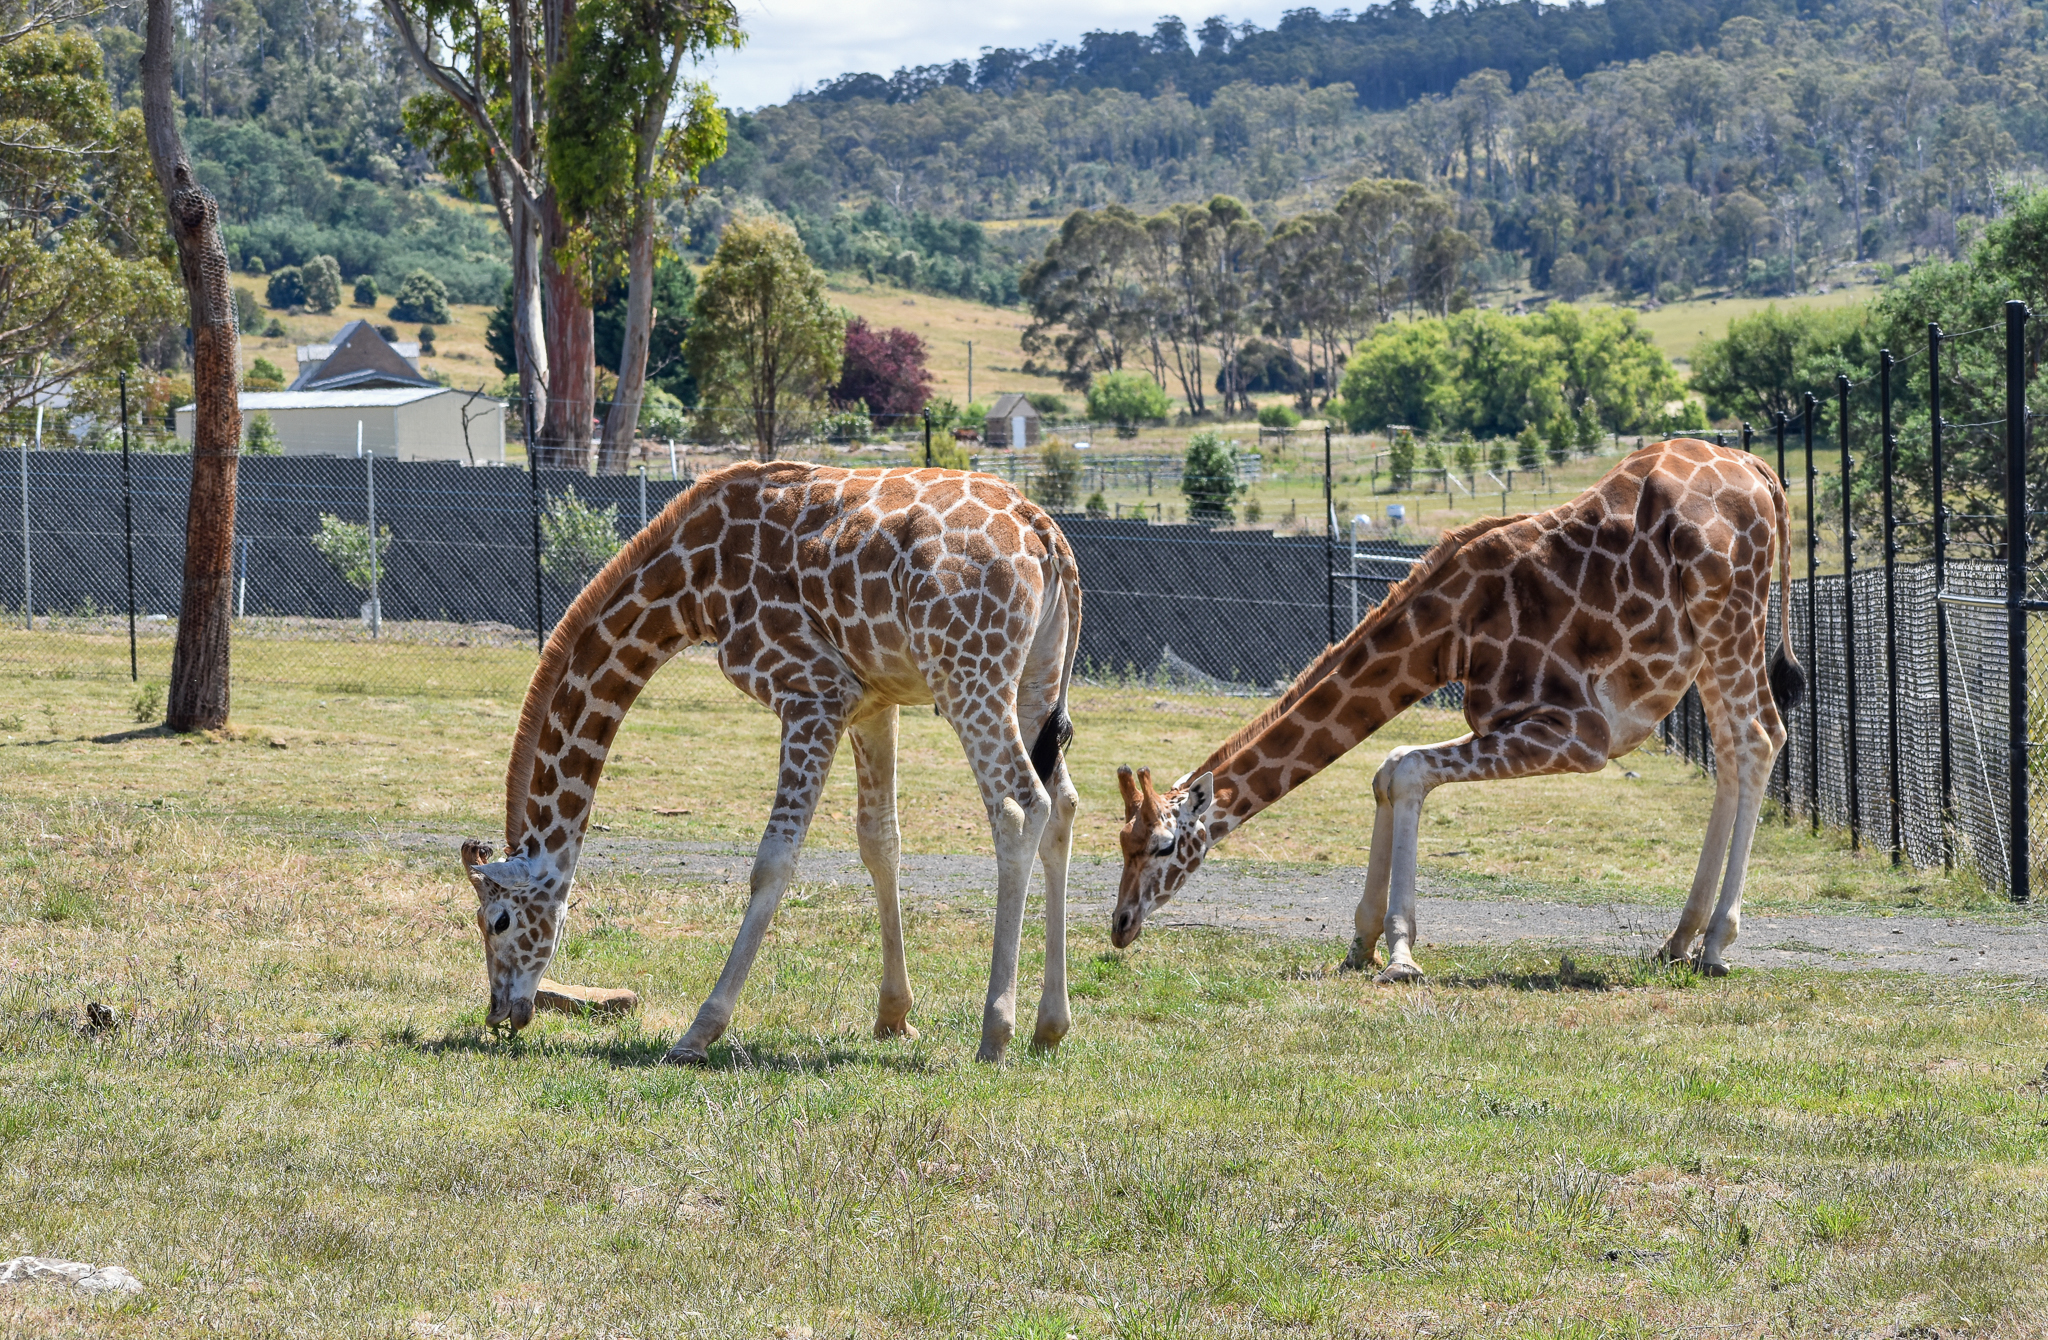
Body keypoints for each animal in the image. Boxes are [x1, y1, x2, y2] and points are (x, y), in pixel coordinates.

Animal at [459, 460, 1082, 1065]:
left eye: (499, 920)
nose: (500, 1013)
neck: (692, 585)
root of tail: (1045, 534)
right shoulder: (872, 701)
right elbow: (880, 842)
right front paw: (893, 1017)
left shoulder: (814, 692)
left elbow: (773, 861)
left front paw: (699, 1032)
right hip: (1034, 679)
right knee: (1063, 804)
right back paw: (1049, 1028)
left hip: (968, 677)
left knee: (1020, 805)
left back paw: (996, 1033)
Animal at [1112, 438, 1804, 979]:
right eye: (1123, 841)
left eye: (1166, 847)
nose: (1119, 925)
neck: (1449, 635)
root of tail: (1760, 470)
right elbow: (1389, 767)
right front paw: (1363, 943)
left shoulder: (1579, 736)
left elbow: (1407, 769)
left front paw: (1399, 955)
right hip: (1706, 646)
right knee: (1732, 752)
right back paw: (1679, 940)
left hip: (1730, 617)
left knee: (1760, 737)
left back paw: (1715, 945)